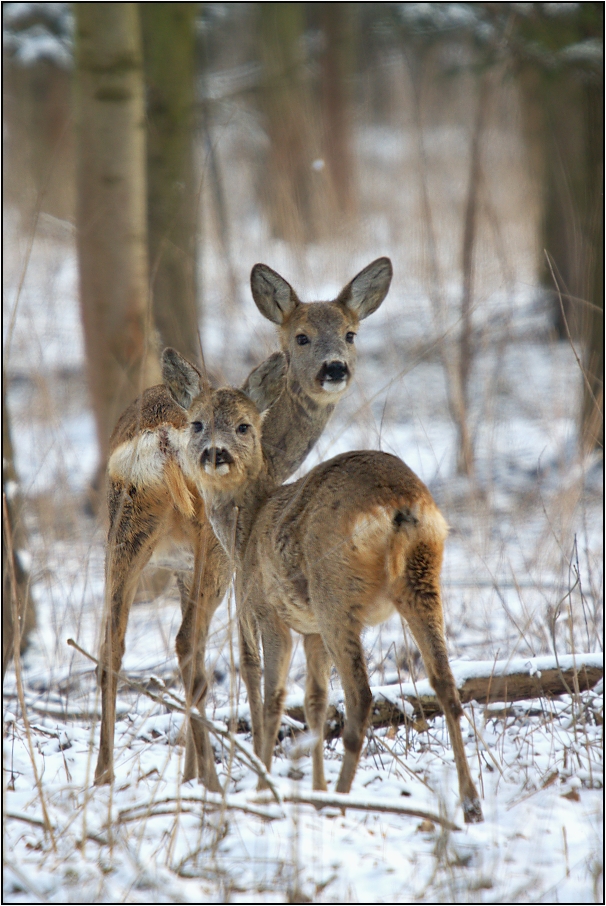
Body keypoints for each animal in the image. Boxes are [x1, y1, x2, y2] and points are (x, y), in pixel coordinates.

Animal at [92, 254, 392, 784]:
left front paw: (190, 770)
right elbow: (248, 660)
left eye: (351, 332)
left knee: (114, 647)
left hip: (122, 533)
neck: (272, 455)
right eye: (301, 336)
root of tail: (160, 441)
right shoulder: (237, 558)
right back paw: (212, 780)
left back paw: (105, 776)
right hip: (209, 552)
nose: (335, 368)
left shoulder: (182, 568)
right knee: (186, 644)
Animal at [160, 350, 484, 824]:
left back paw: (342, 801)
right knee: (445, 684)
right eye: (197, 423)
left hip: (335, 592)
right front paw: (311, 787)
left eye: (245, 426)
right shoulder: (309, 628)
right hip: (423, 581)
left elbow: (274, 699)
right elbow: (315, 702)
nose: (214, 453)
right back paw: (471, 802)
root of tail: (401, 505)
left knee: (362, 695)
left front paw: (265, 789)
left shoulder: (270, 611)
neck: (247, 530)